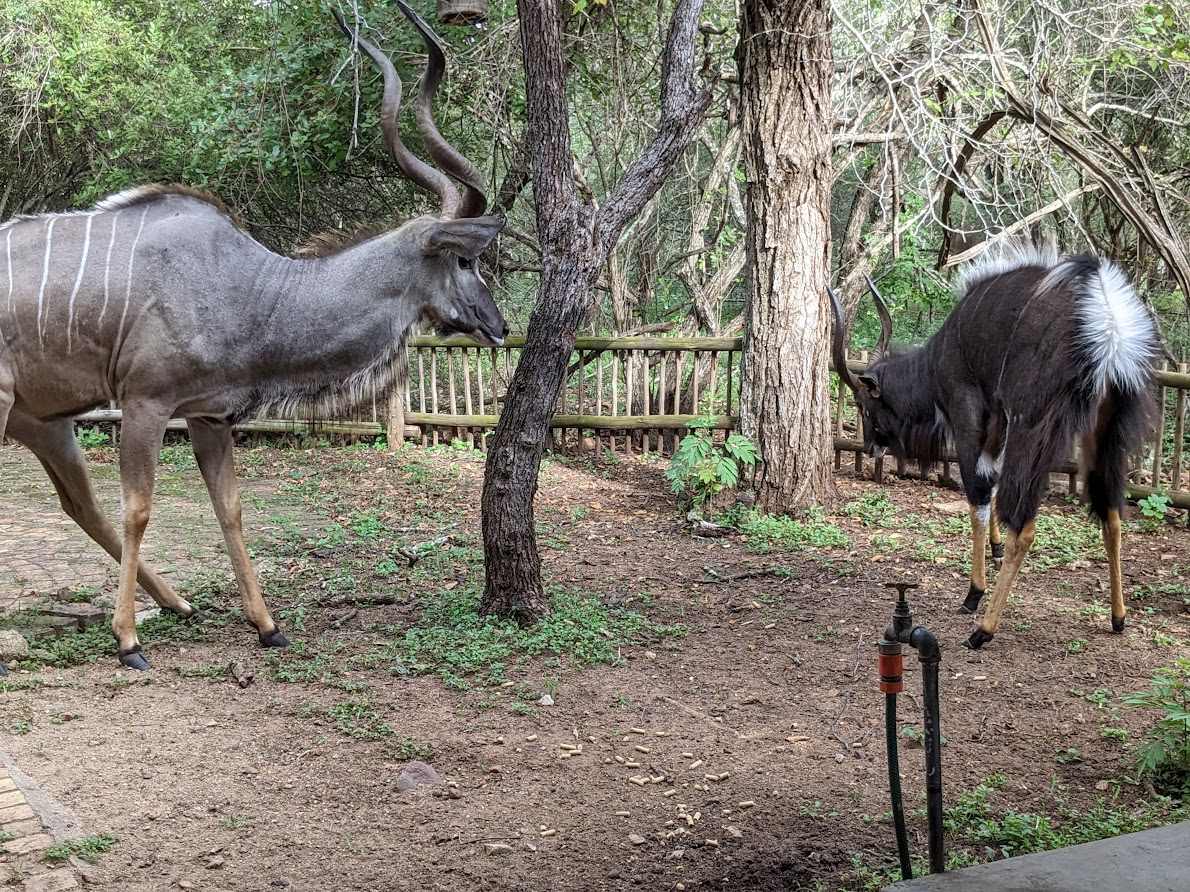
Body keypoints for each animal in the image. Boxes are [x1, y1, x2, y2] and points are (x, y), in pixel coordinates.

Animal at [0, 3, 507, 669]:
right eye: (466, 261)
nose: (500, 327)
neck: (251, 288)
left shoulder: (209, 416)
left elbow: (231, 509)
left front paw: (267, 625)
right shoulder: (145, 403)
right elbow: (139, 509)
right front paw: (128, 641)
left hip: (41, 420)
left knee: (79, 504)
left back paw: (179, 603)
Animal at [831, 244, 1159, 648]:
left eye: (864, 404)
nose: (870, 447)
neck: (943, 351)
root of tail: (1106, 315)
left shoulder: (968, 412)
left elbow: (977, 495)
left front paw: (973, 593)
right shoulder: (997, 424)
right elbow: (990, 484)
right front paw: (995, 548)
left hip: (1031, 426)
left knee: (1026, 525)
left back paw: (983, 630)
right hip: (1106, 432)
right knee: (1111, 514)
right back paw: (1118, 617)